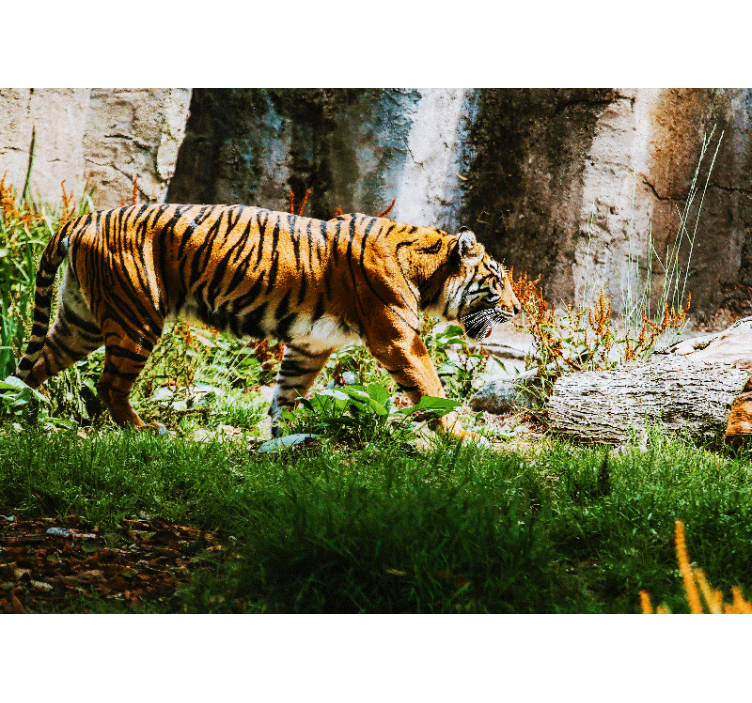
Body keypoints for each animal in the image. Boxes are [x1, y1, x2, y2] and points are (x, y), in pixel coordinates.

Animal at [13, 204, 521, 438]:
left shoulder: (310, 345)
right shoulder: (398, 338)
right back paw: (144, 431)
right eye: (497, 281)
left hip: (80, 321)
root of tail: (87, 216)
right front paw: (462, 440)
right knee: (109, 386)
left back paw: (21, 414)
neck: (428, 270)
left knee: (33, 366)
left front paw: (283, 440)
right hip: (136, 317)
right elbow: (432, 389)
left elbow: (287, 395)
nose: (518, 310)